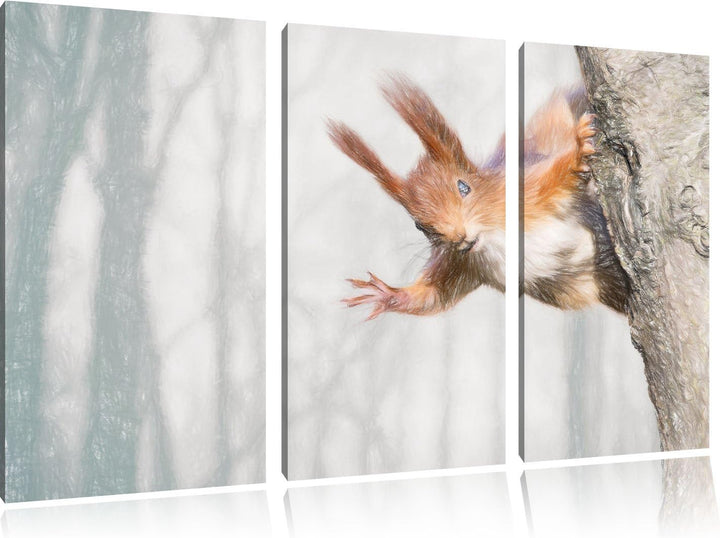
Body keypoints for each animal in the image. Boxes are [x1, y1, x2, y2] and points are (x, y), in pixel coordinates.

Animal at [328, 75, 629, 320]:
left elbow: (561, 175)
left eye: (464, 187)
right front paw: (387, 294)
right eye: (419, 225)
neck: (494, 238)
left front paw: (580, 149)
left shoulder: (529, 192)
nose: (459, 237)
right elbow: (435, 295)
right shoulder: (461, 263)